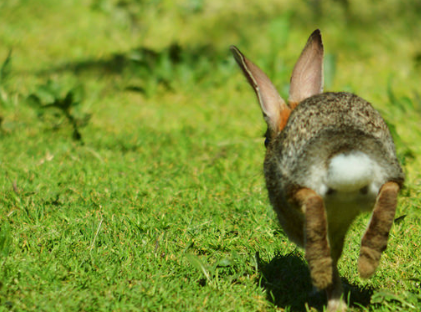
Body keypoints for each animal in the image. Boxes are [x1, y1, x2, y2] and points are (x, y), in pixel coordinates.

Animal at [230, 28, 404, 310]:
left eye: (266, 140)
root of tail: (344, 151)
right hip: (382, 174)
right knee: (390, 190)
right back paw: (367, 261)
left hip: (296, 188)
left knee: (311, 207)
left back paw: (322, 280)